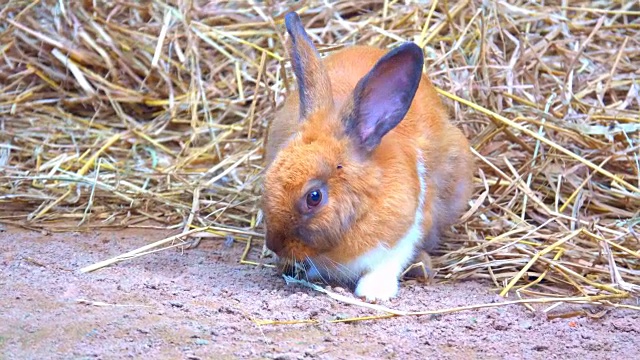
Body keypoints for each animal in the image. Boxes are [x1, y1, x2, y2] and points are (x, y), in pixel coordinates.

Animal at [260, 11, 476, 300]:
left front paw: (373, 293)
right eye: (269, 178)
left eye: (314, 197)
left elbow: (388, 263)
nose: (274, 245)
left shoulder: (403, 237)